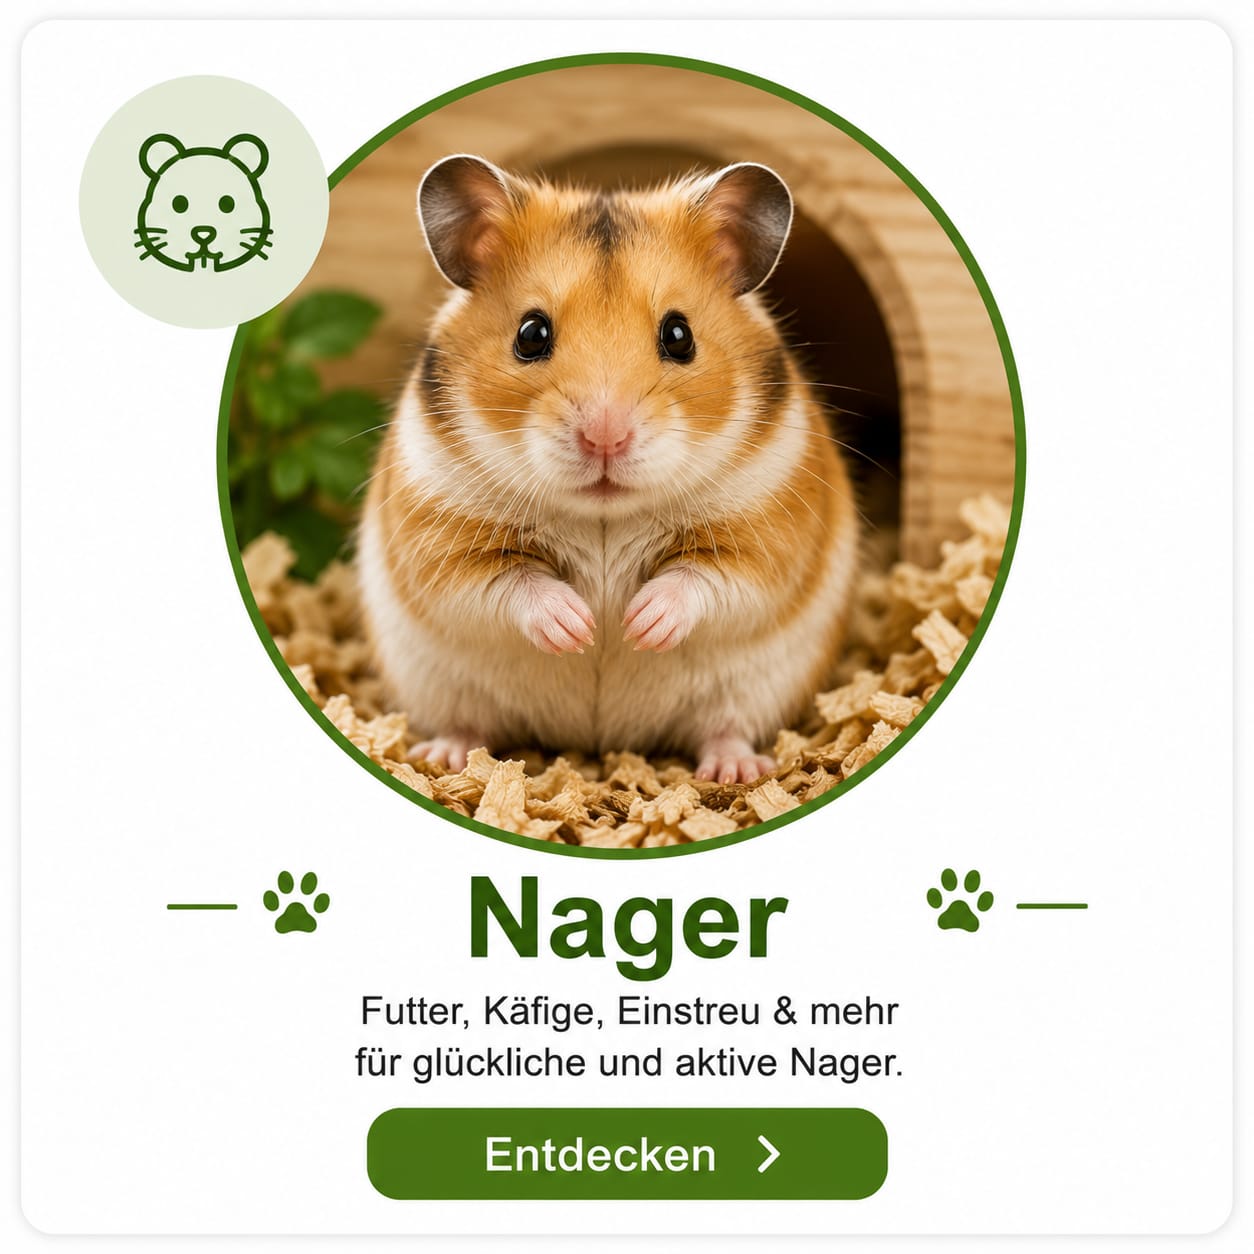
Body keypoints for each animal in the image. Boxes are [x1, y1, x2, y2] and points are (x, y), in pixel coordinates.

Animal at [357, 154, 858, 784]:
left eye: (679, 335)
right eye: (531, 334)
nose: (605, 437)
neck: (604, 516)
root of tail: (597, 741)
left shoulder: (768, 533)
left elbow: (707, 577)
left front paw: (636, 624)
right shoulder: (439, 538)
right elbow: (507, 582)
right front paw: (581, 628)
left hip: (751, 688)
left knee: (725, 728)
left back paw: (737, 772)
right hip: (442, 684)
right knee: (467, 723)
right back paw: (442, 757)